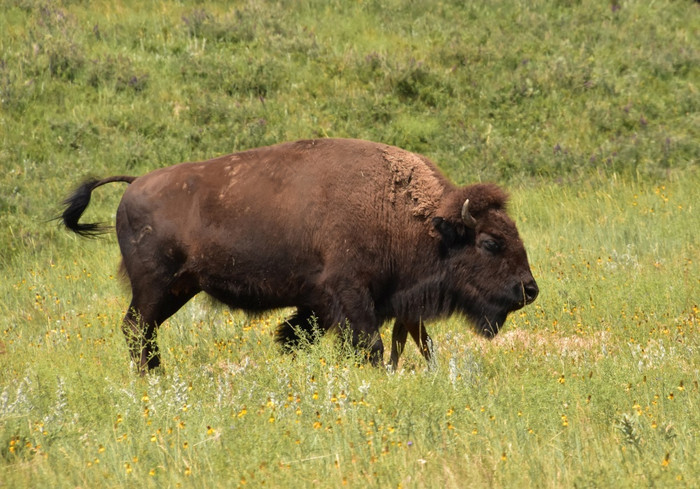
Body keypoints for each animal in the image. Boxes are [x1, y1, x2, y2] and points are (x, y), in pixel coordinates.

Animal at [63, 139, 540, 372]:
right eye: (490, 242)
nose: (529, 289)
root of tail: (134, 184)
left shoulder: (322, 303)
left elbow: (296, 336)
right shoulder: (350, 295)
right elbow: (370, 345)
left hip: (179, 288)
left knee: (143, 330)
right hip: (155, 286)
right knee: (136, 329)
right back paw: (153, 376)